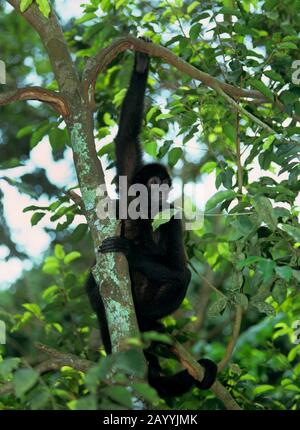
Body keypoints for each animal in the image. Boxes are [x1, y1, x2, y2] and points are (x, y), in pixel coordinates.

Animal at [85, 39, 217, 396]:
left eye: (167, 183)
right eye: (155, 181)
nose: (164, 189)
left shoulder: (173, 218)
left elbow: (178, 268)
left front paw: (130, 251)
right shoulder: (130, 180)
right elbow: (126, 138)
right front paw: (141, 63)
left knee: (180, 278)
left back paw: (149, 326)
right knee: (93, 286)